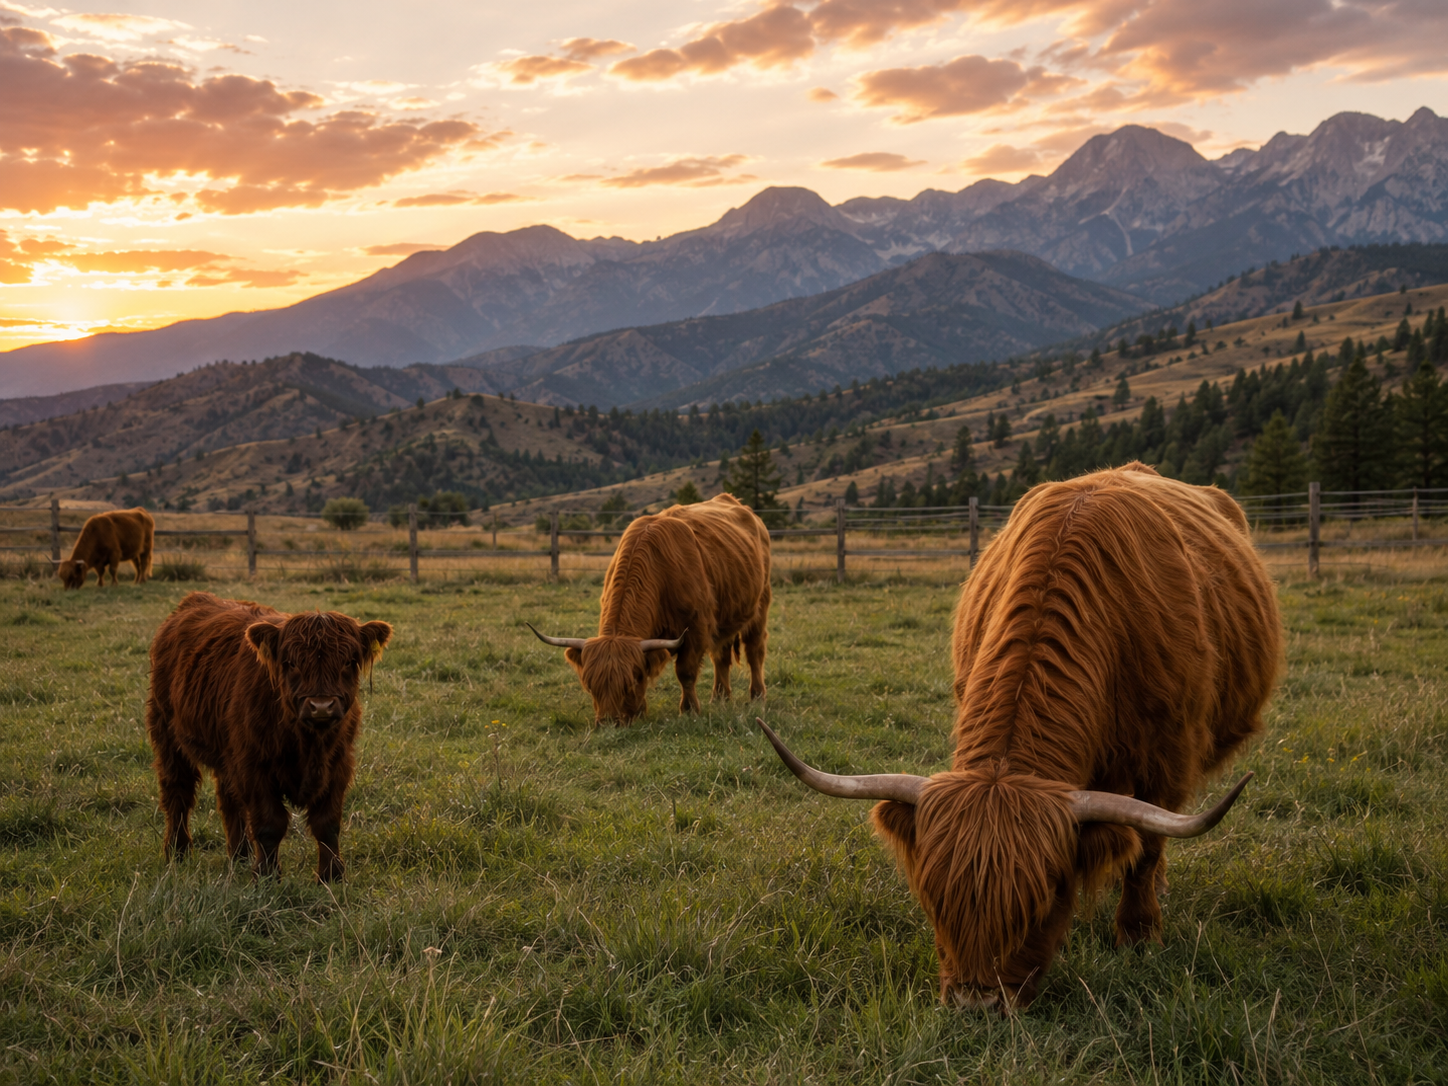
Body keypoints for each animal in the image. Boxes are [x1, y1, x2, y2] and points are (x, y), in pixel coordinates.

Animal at [145, 592, 392, 881]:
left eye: (348, 662)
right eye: (291, 663)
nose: (321, 706)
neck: (308, 744)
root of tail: (195, 599)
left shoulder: (339, 764)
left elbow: (327, 824)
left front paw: (332, 875)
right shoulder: (254, 766)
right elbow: (270, 824)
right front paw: (267, 875)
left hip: (226, 752)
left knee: (228, 799)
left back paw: (239, 855)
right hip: (167, 733)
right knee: (178, 793)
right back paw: (178, 852)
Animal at [530, 492, 772, 724]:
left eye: (630, 683)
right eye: (590, 685)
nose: (608, 723)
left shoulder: (697, 628)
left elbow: (685, 672)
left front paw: (690, 710)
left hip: (760, 605)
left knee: (755, 651)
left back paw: (757, 696)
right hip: (727, 616)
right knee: (721, 655)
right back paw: (720, 698)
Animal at [757, 463, 1282, 1011]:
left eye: (1045, 897)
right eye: (931, 897)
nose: (977, 1003)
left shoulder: (1169, 758)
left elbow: (1148, 848)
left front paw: (1139, 938)